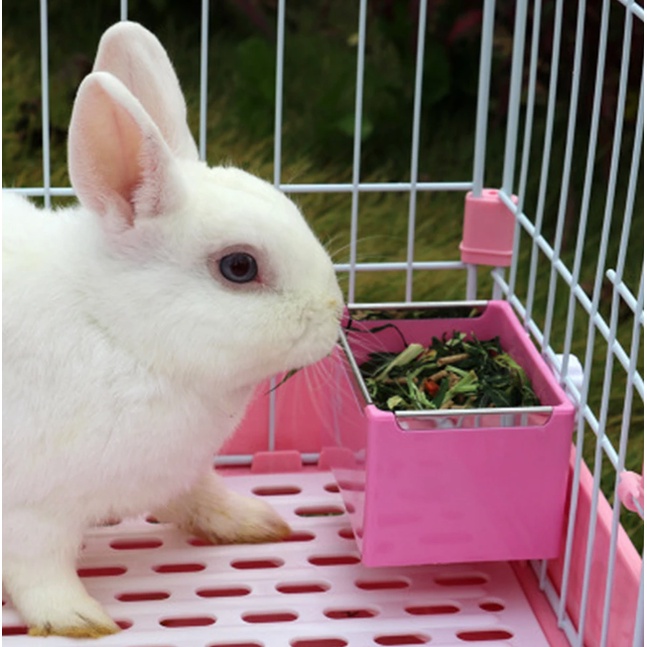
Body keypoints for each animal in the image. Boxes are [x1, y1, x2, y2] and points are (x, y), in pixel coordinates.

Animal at [2, 21, 344, 638]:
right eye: (239, 267)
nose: (337, 313)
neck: (116, 331)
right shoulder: (29, 514)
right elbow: (38, 573)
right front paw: (79, 619)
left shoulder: (183, 472)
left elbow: (199, 497)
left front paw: (253, 521)